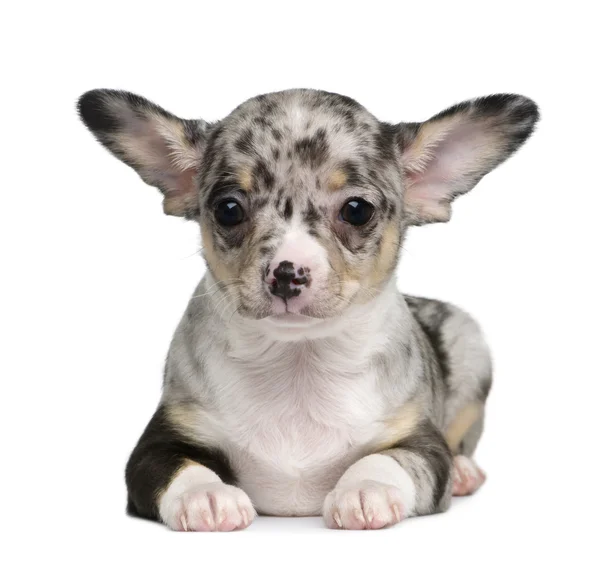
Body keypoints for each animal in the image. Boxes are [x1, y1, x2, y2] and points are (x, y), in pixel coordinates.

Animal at [76, 90, 540, 532]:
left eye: (357, 210)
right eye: (228, 210)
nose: (287, 273)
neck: (298, 360)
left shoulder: (422, 446)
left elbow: (388, 460)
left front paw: (365, 489)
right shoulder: (156, 446)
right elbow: (178, 467)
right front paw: (205, 496)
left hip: (470, 347)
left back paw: (463, 472)